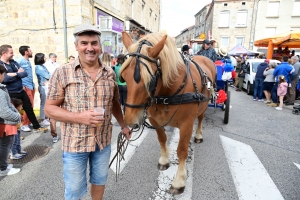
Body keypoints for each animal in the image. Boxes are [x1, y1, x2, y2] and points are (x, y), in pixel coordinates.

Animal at [119, 32, 216, 195]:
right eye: (123, 77)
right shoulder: (155, 120)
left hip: (204, 105)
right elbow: (162, 138)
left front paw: (179, 181)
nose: (131, 121)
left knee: (201, 118)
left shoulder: (187, 123)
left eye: (150, 81)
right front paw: (164, 160)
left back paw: (198, 135)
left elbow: (182, 150)